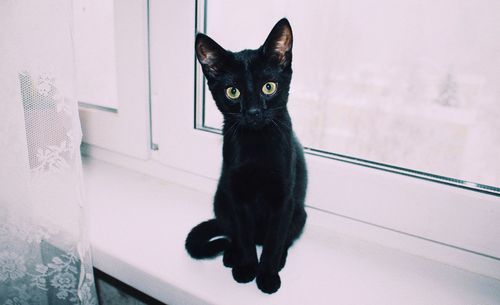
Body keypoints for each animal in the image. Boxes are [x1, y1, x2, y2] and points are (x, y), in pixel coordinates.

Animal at [186, 17, 306, 294]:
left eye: (269, 87)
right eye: (233, 92)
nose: (253, 112)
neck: (256, 143)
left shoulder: (283, 199)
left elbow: (274, 241)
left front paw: (268, 276)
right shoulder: (237, 196)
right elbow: (244, 234)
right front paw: (247, 267)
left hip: (300, 214)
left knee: (284, 239)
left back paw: (279, 260)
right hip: (221, 200)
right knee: (233, 234)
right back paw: (232, 255)